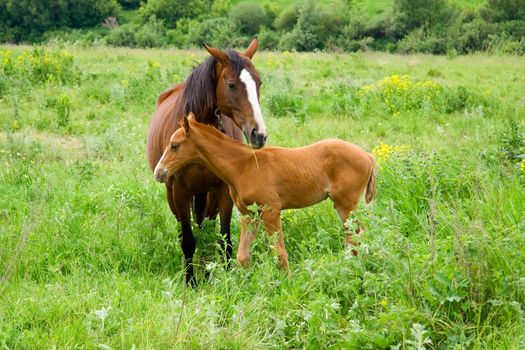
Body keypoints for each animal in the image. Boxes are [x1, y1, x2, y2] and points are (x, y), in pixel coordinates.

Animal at [146, 39, 266, 284]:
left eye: (259, 82)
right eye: (231, 85)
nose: (259, 134)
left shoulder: (223, 190)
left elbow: (224, 239)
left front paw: (227, 277)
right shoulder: (180, 192)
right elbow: (187, 240)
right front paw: (190, 281)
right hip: (173, 193)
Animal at [154, 115, 374, 270]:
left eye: (174, 145)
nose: (159, 172)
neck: (244, 166)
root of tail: (368, 156)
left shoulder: (270, 210)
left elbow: (279, 253)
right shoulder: (249, 214)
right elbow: (243, 257)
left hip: (345, 204)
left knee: (356, 240)